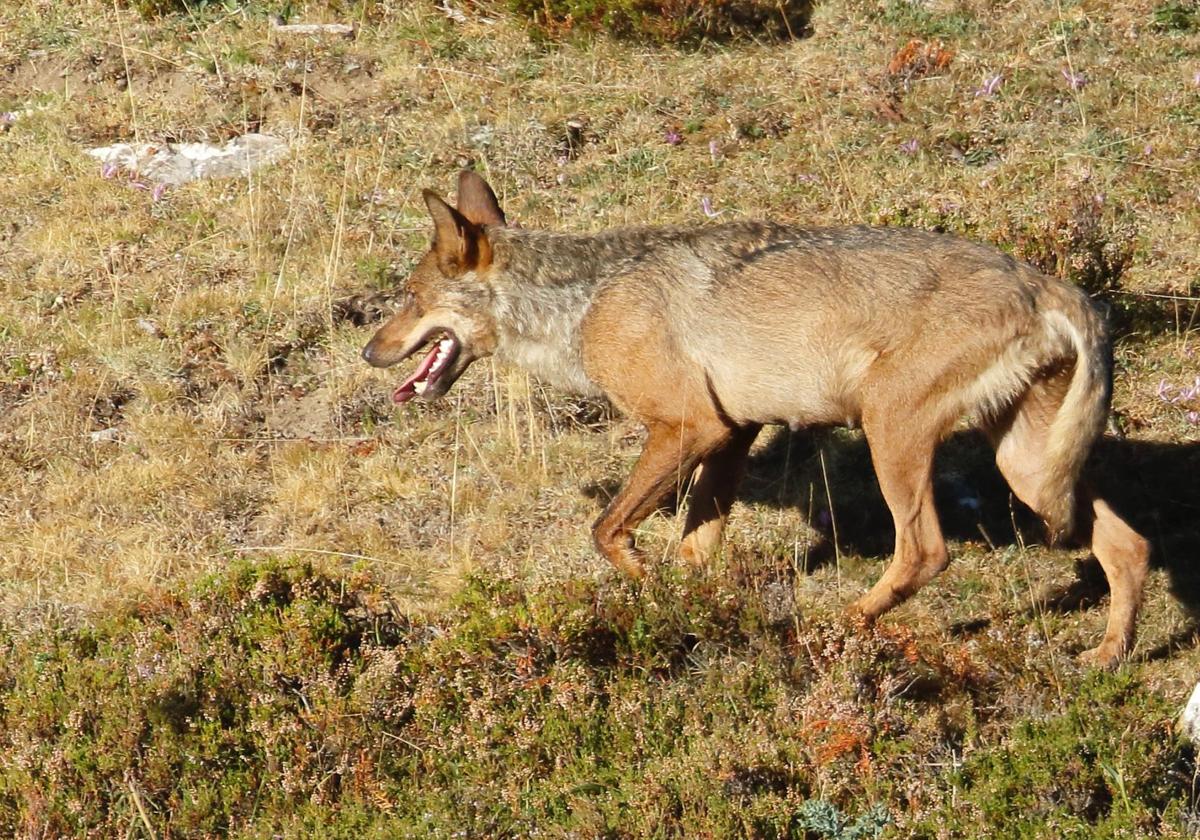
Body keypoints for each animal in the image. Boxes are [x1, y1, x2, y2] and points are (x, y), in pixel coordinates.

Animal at [360, 172, 1147, 667]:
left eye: (407, 298)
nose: (369, 351)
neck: (583, 300)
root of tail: (1053, 286)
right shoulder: (733, 433)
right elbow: (693, 547)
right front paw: (687, 608)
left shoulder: (690, 427)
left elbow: (607, 530)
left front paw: (647, 584)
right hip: (1028, 468)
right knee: (1127, 545)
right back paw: (1109, 655)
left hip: (893, 433)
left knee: (926, 551)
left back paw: (844, 626)